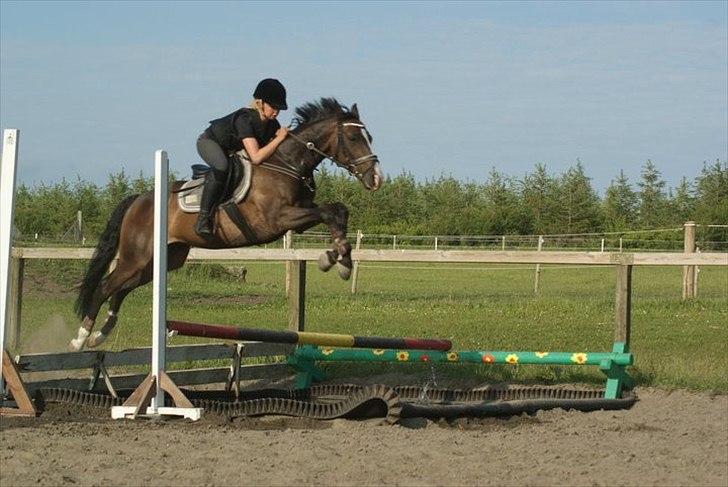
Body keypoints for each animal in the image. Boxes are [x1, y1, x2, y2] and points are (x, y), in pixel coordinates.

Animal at [70, 98, 383, 351]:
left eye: (368, 136)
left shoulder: (300, 217)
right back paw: (81, 338)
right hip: (137, 256)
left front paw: (339, 259)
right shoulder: (277, 219)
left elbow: (337, 212)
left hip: (162, 259)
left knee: (122, 288)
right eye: (353, 137)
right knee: (107, 285)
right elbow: (330, 212)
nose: (376, 179)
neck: (287, 164)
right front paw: (336, 260)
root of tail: (139, 200)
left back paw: (101, 334)